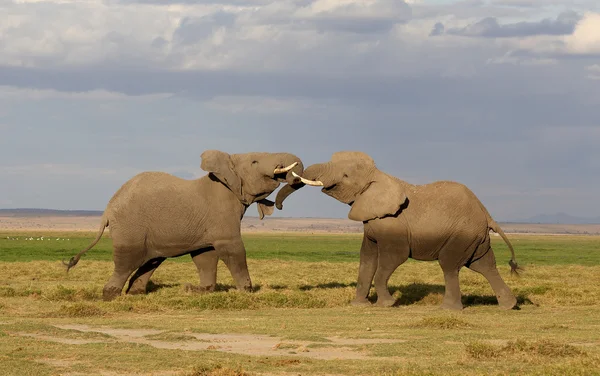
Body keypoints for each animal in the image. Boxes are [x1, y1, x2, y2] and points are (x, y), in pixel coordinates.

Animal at [64, 151, 304, 302]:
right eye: (254, 162)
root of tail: (107, 210)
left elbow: (205, 255)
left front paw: (201, 291)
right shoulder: (222, 213)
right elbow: (233, 249)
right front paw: (248, 293)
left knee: (151, 261)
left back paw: (135, 293)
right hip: (130, 227)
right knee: (127, 261)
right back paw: (110, 296)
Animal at [276, 151, 520, 312]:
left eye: (345, 176)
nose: (278, 207)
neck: (378, 176)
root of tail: (486, 213)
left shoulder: (393, 224)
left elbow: (393, 258)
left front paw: (388, 304)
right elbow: (367, 260)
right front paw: (359, 305)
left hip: (462, 234)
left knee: (450, 266)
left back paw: (448, 310)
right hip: (474, 237)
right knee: (484, 265)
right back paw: (509, 306)